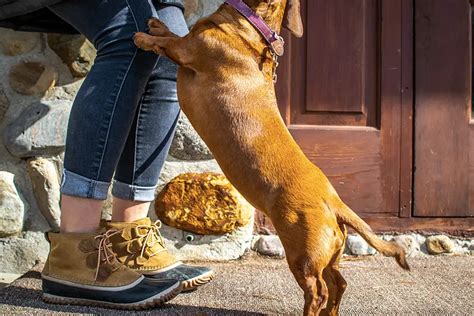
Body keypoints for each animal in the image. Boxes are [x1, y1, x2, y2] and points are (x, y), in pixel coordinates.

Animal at [132, 1, 408, 314]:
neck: (251, 26)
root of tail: (334, 201)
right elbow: (169, 33)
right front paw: (156, 24)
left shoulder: (188, 50)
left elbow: (168, 42)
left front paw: (143, 38)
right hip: (330, 255)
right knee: (339, 283)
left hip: (302, 255)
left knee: (319, 291)